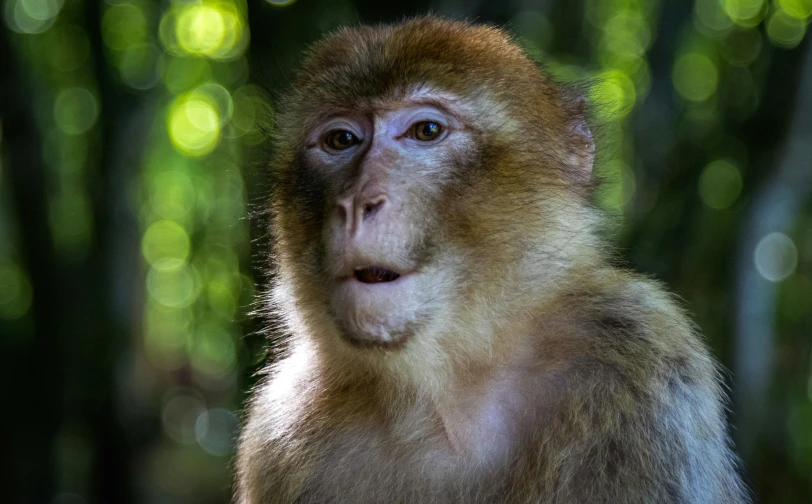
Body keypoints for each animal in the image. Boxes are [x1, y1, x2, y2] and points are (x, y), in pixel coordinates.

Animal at [233, 15, 748, 504]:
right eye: (340, 140)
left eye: (426, 131)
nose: (356, 203)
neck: (442, 390)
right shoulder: (279, 427)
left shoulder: (638, 354)